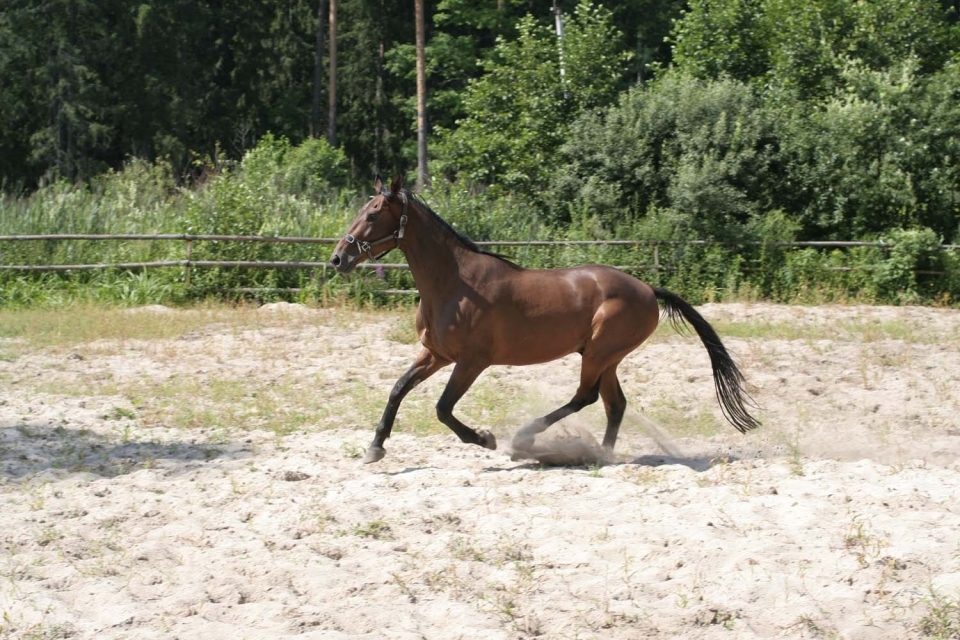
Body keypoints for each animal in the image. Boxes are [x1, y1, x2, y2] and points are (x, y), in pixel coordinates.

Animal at [330, 176, 759, 464]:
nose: (338, 259)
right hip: (605, 357)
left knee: (586, 397)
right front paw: (375, 447)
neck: (455, 284)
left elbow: (442, 408)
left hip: (599, 353)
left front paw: (485, 439)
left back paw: (528, 440)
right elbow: (398, 389)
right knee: (614, 404)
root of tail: (648, 289)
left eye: (373, 214)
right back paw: (600, 454)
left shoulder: (471, 362)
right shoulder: (435, 354)